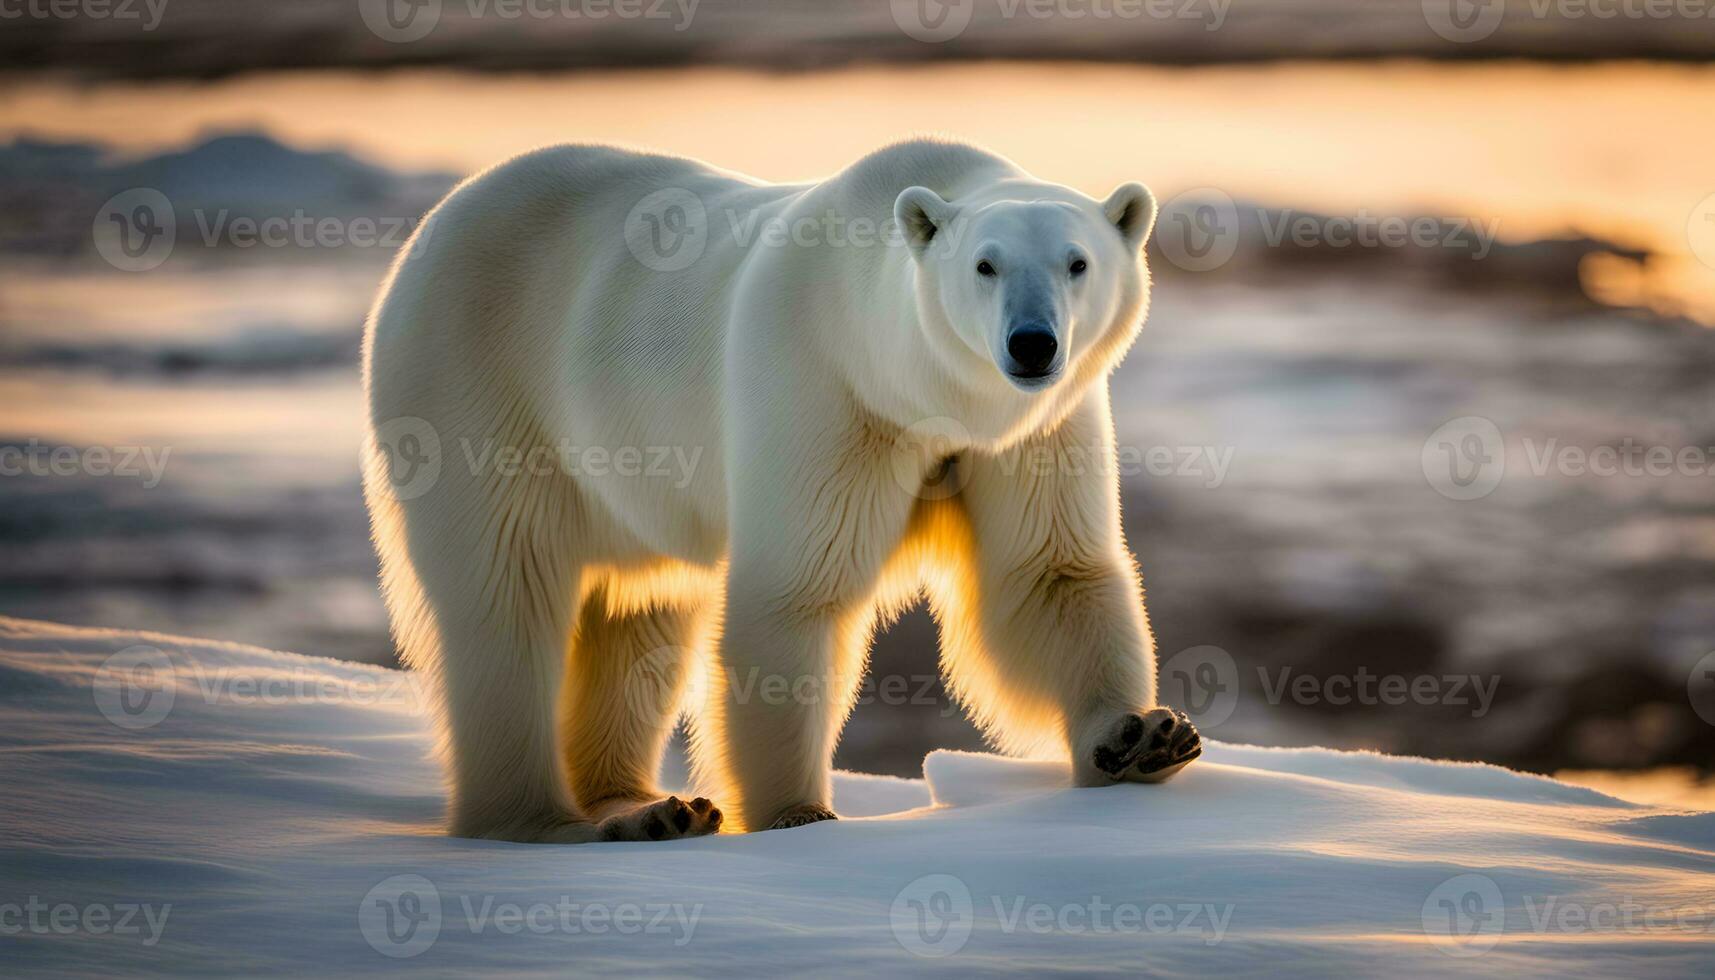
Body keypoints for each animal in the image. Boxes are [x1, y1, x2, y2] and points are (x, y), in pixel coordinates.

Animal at [361, 138, 1200, 844]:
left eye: (1076, 263)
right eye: (984, 266)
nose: (1032, 344)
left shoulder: (1030, 434)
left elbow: (1050, 574)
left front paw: (1142, 737)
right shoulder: (826, 394)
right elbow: (796, 594)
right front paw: (799, 815)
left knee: (642, 617)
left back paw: (645, 806)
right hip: (475, 394)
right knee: (505, 603)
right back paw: (548, 819)